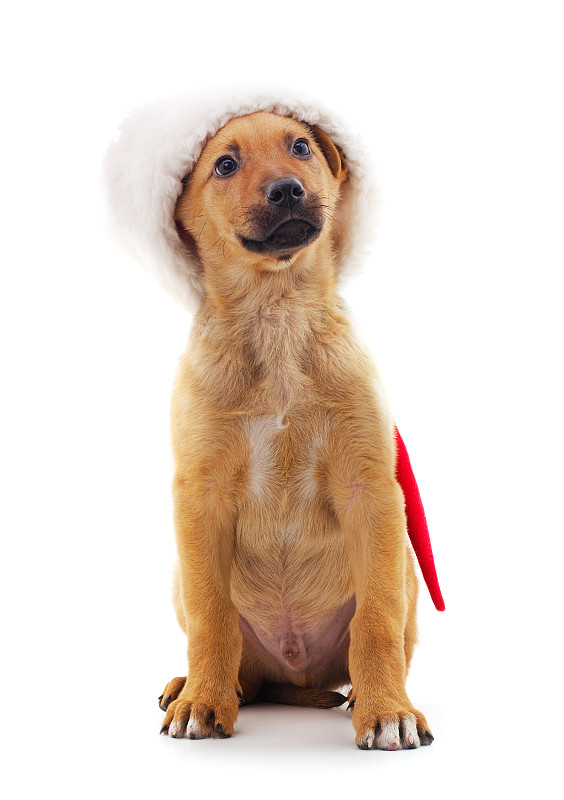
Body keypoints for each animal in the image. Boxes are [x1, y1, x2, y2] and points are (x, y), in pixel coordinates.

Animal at [151, 108, 436, 752]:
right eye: (225, 165)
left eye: (301, 146)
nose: (286, 190)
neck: (276, 314)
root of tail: (295, 669)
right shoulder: (200, 499)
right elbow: (211, 617)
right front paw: (201, 702)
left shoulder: (371, 493)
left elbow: (376, 621)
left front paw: (388, 713)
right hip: (183, 576)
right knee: (241, 667)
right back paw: (193, 685)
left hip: (405, 566)